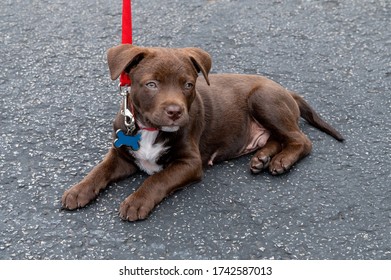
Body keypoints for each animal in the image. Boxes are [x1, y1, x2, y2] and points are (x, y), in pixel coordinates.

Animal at [60, 44, 344, 221]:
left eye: (188, 85)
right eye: (151, 84)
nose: (175, 111)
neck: (150, 129)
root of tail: (287, 91)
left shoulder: (189, 162)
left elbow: (157, 179)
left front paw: (136, 201)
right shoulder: (122, 154)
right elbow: (100, 169)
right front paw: (79, 190)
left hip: (264, 99)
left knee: (301, 140)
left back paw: (281, 161)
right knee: (277, 138)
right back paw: (262, 158)